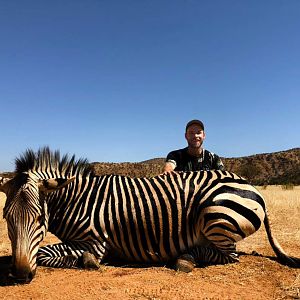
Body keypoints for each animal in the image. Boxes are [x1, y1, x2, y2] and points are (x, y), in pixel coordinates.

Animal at [0, 146, 298, 282]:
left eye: (39, 219)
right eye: (6, 219)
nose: (21, 275)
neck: (78, 199)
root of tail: (250, 184)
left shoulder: (95, 242)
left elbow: (44, 253)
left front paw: (87, 262)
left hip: (215, 215)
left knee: (229, 256)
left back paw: (185, 258)